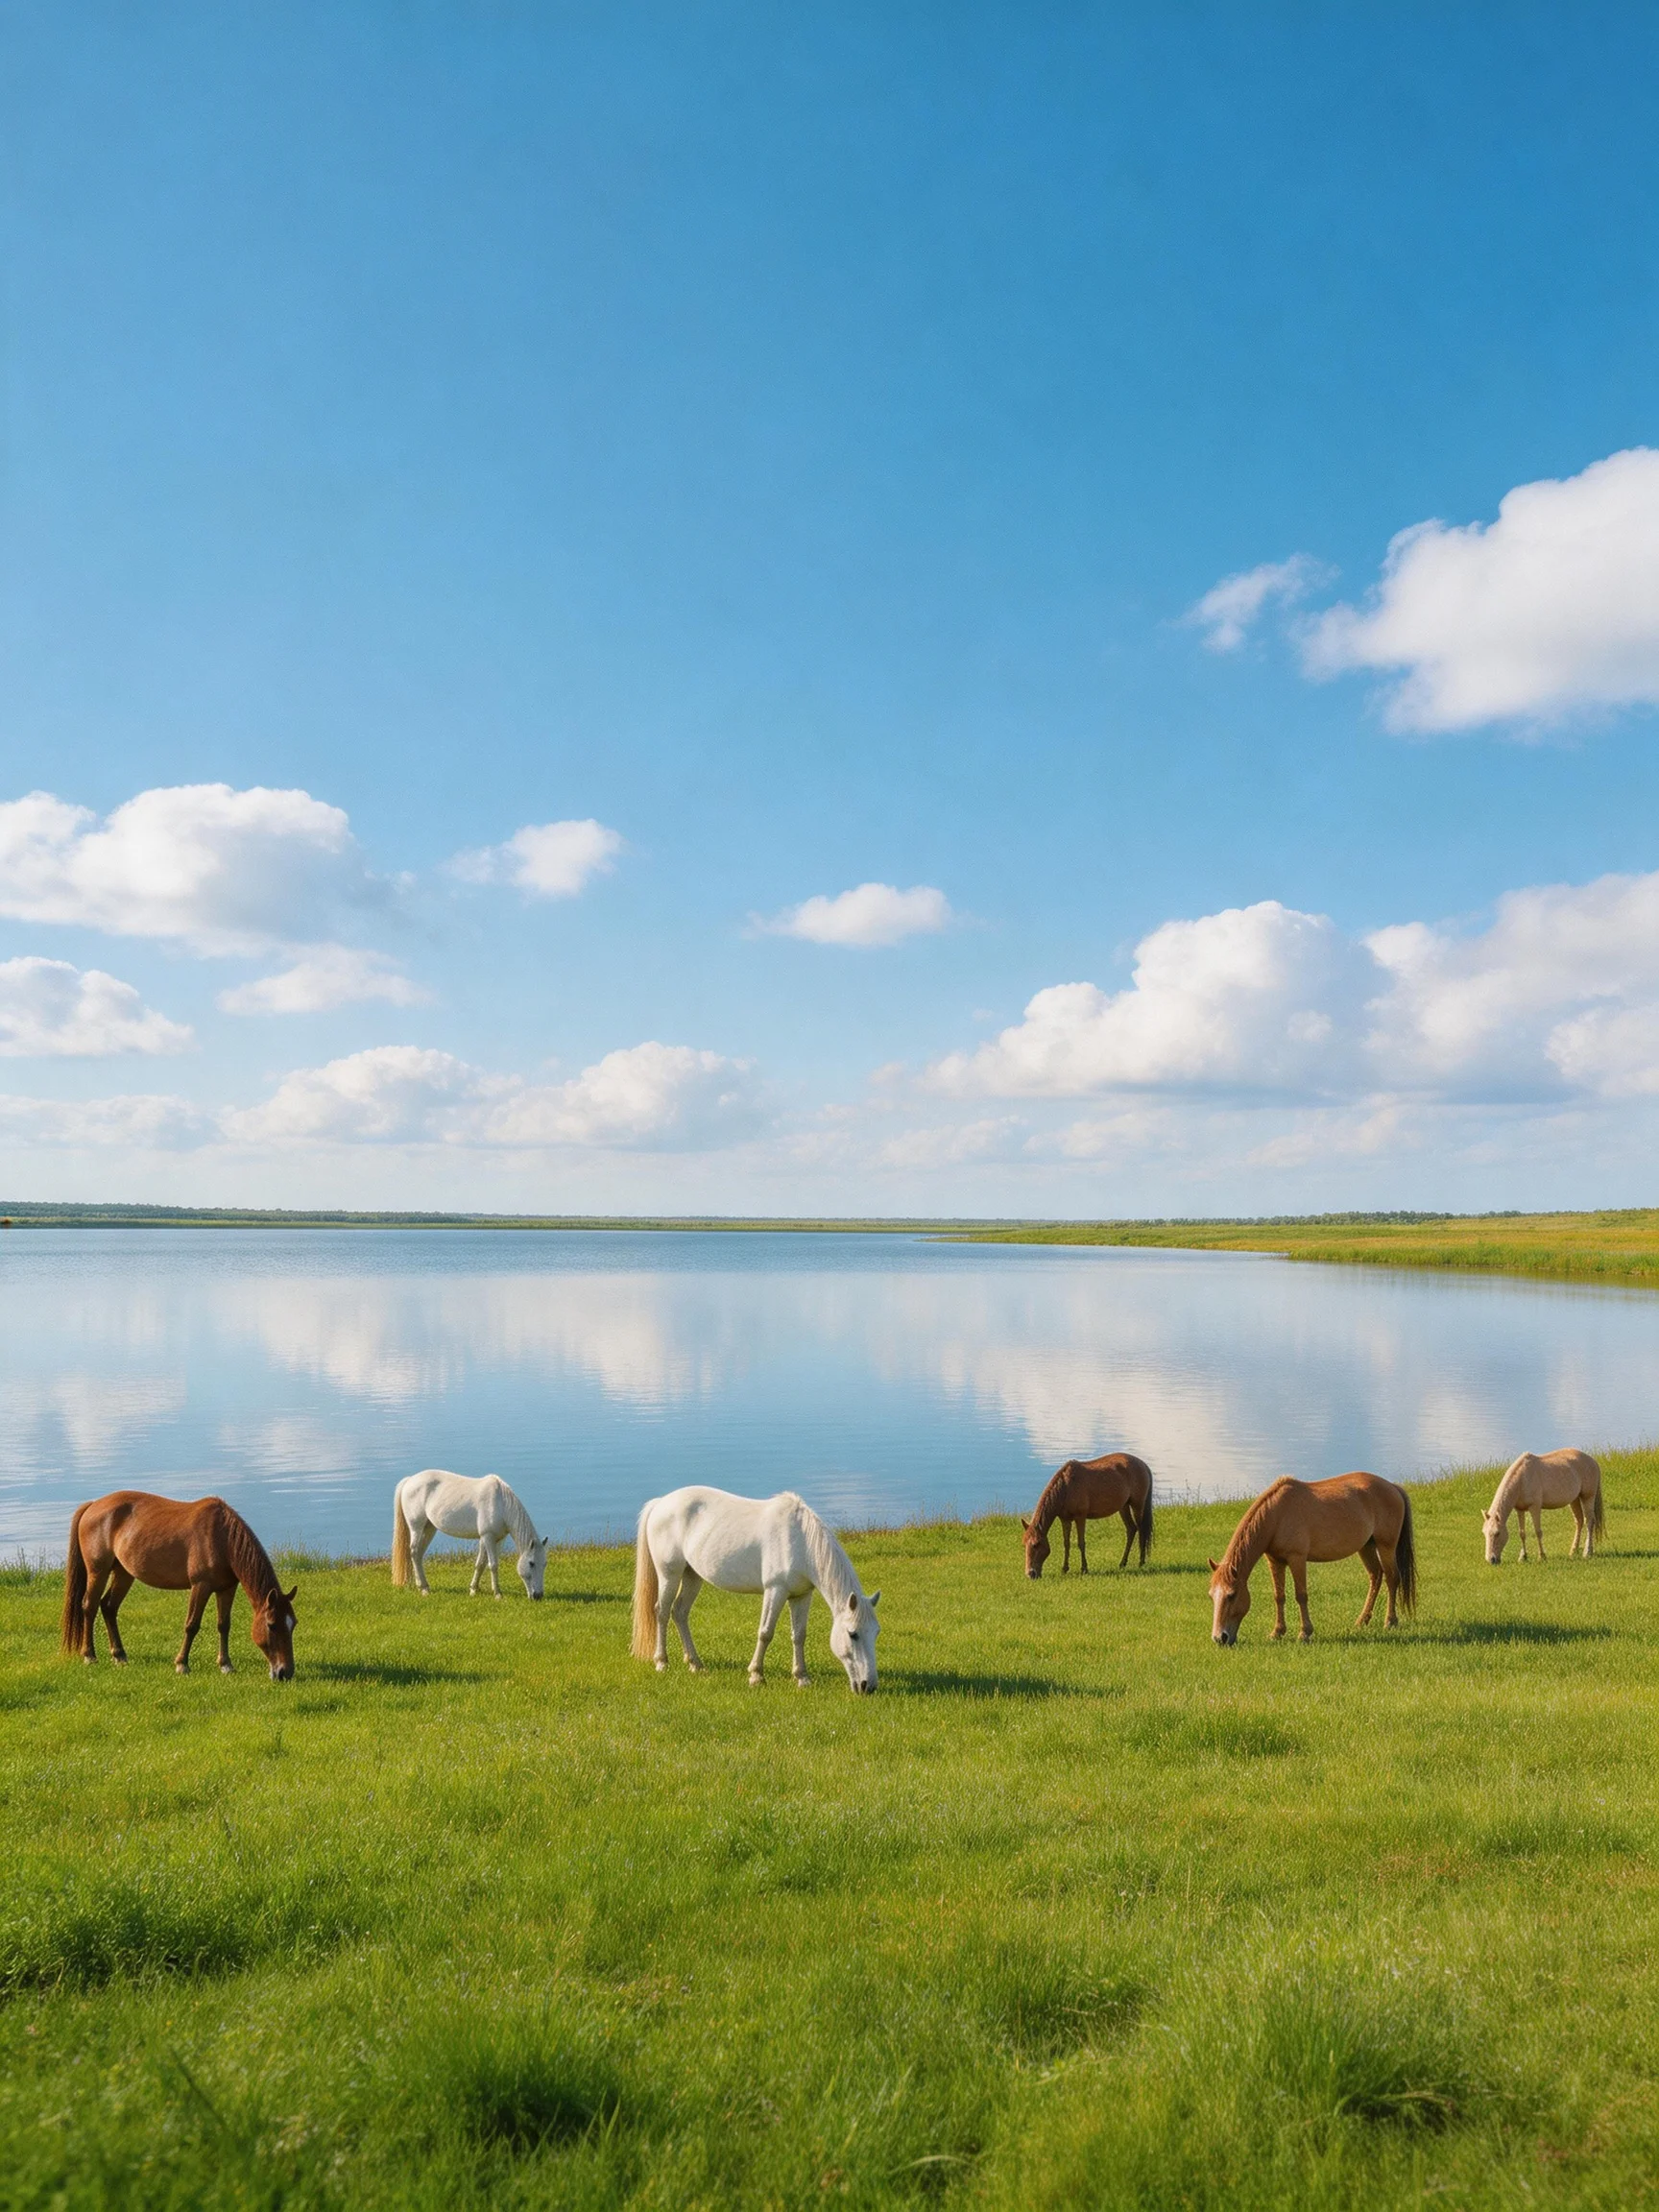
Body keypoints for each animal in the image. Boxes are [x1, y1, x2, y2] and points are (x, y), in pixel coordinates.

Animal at [60, 1491, 297, 1679]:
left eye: (293, 1624)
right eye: (272, 1625)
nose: (285, 1672)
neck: (222, 1538)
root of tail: (93, 1505)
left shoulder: (227, 1588)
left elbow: (224, 1625)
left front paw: (226, 1665)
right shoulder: (201, 1586)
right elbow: (192, 1625)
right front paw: (182, 1664)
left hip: (124, 1573)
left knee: (109, 1607)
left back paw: (119, 1655)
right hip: (97, 1571)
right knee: (89, 1606)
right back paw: (89, 1655)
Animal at [391, 1470, 548, 1598]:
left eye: (545, 1564)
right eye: (531, 1563)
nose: (538, 1595)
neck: (501, 1503)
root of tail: (409, 1480)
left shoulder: (492, 1539)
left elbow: (481, 1564)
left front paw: (474, 1589)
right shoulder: (488, 1537)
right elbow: (493, 1565)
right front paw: (497, 1594)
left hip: (429, 1528)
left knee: (419, 1555)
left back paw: (424, 1586)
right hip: (416, 1528)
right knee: (414, 1552)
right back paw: (423, 1589)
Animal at [631, 1486, 880, 1691]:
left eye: (876, 1632)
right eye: (853, 1634)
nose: (867, 1686)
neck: (800, 1541)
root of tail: (661, 1503)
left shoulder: (802, 1595)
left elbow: (799, 1635)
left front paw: (802, 1678)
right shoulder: (775, 1590)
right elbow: (766, 1632)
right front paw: (756, 1676)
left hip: (692, 1576)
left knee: (680, 1613)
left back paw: (696, 1664)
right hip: (669, 1575)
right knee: (662, 1613)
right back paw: (662, 1662)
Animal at [1022, 1452, 1153, 1577]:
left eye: (1036, 1544)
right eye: (1024, 1544)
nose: (1030, 1573)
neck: (1066, 1487)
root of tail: (1143, 1465)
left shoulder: (1080, 1517)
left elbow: (1081, 1543)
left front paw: (1084, 1569)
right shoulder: (1065, 1519)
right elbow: (1066, 1543)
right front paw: (1064, 1569)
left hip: (1137, 1505)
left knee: (1141, 1530)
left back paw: (1141, 1562)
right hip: (1124, 1507)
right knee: (1131, 1529)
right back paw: (1122, 1563)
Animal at [1209, 1472, 1415, 1645]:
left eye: (1231, 1595)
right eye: (1211, 1595)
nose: (1220, 1638)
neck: (1277, 1515)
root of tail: (1393, 1487)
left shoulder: (1297, 1559)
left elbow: (1301, 1595)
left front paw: (1304, 1633)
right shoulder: (1275, 1561)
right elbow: (1279, 1596)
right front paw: (1277, 1632)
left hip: (1386, 1546)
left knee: (1392, 1578)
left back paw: (1390, 1621)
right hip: (1366, 1547)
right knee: (1376, 1576)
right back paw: (1362, 1620)